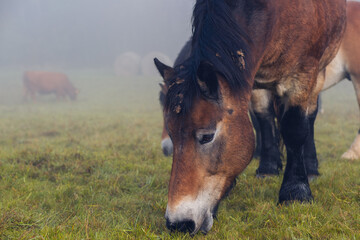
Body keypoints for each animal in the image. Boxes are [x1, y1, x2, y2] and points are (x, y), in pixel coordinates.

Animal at [155, 0, 346, 234]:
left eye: (207, 136)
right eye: (173, 136)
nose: (178, 223)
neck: (272, 13)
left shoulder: (302, 75)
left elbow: (295, 129)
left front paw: (296, 192)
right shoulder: (253, 80)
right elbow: (263, 119)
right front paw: (268, 168)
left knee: (308, 117)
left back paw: (310, 168)